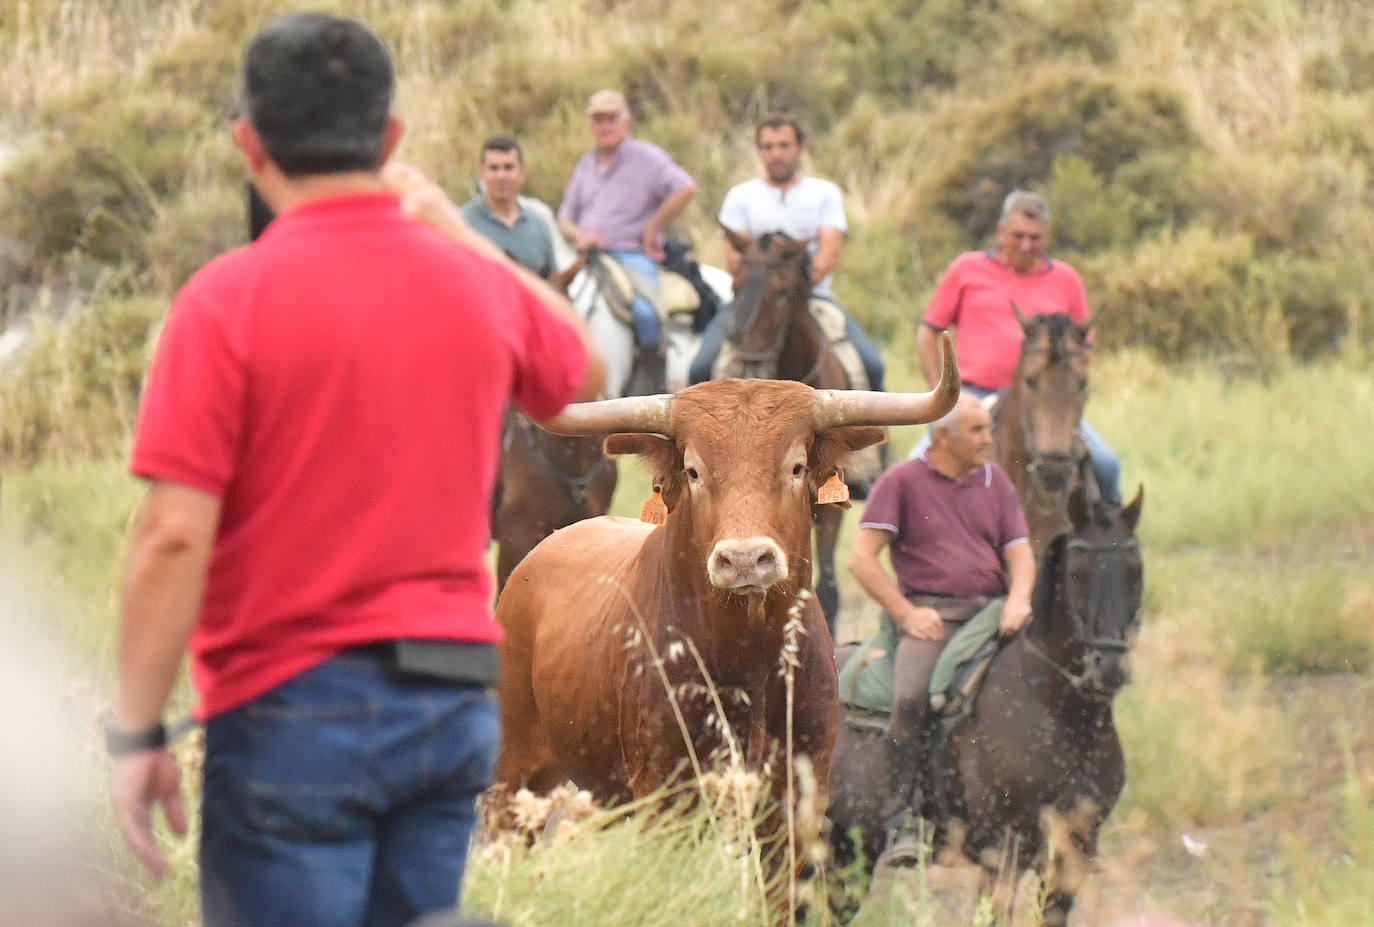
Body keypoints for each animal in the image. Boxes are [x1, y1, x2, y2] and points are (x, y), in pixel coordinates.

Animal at [491, 339, 956, 900]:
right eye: (693, 471)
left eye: (796, 466)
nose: (745, 559)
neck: (749, 663)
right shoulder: (667, 800)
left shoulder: (791, 806)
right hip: (513, 771)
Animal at [824, 486, 1137, 927]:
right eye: (1077, 573)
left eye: (1135, 572)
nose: (1107, 667)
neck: (1061, 715)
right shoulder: (1003, 854)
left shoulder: (1070, 858)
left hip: (850, 851)